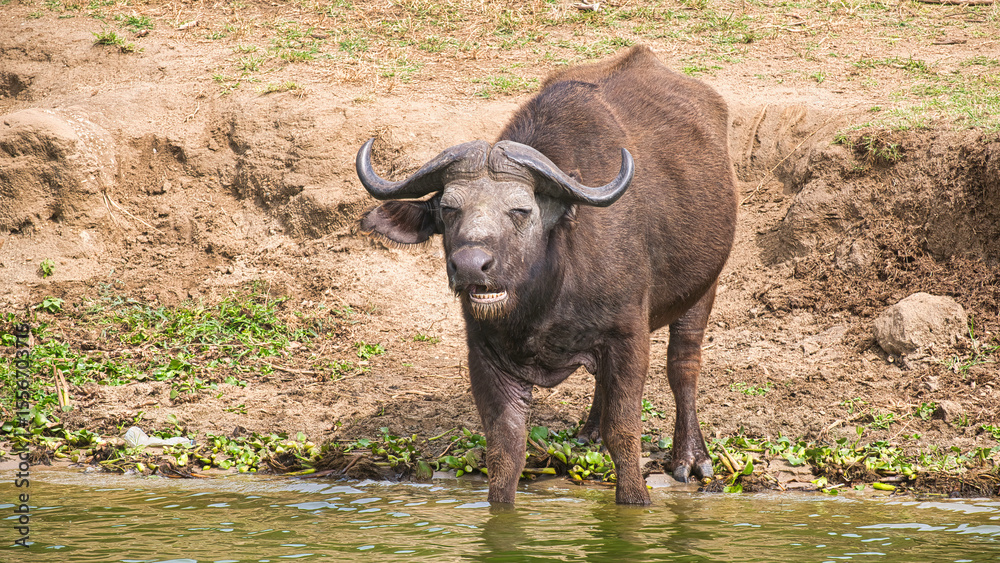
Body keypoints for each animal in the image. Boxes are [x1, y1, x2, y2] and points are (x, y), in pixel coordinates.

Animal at [356, 45, 737, 505]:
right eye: (448, 208)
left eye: (521, 210)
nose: (470, 266)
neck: (546, 299)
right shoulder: (485, 353)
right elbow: (505, 447)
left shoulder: (629, 337)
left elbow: (625, 432)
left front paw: (636, 499)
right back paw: (590, 432)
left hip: (704, 288)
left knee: (683, 366)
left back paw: (691, 457)